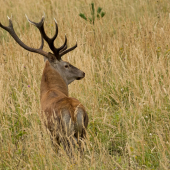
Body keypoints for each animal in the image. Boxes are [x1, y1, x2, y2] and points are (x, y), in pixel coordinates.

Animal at [0, 15, 89, 155]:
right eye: (66, 65)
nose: (82, 72)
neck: (49, 91)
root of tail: (73, 111)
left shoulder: (49, 131)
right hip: (83, 130)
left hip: (64, 133)